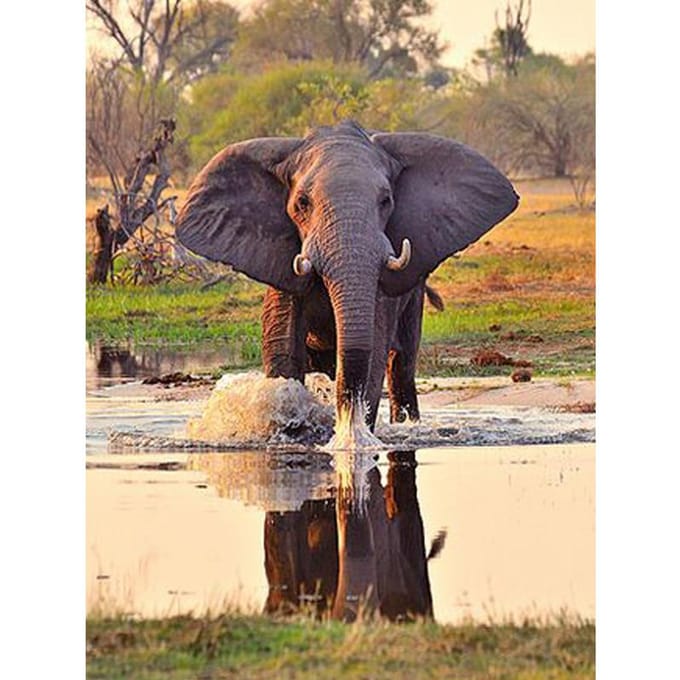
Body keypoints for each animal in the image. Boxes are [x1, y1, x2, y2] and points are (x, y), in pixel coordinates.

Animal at [176, 121, 518, 433]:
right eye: (302, 203)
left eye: (386, 201)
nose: (346, 421)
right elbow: (284, 350)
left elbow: (374, 351)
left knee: (401, 364)